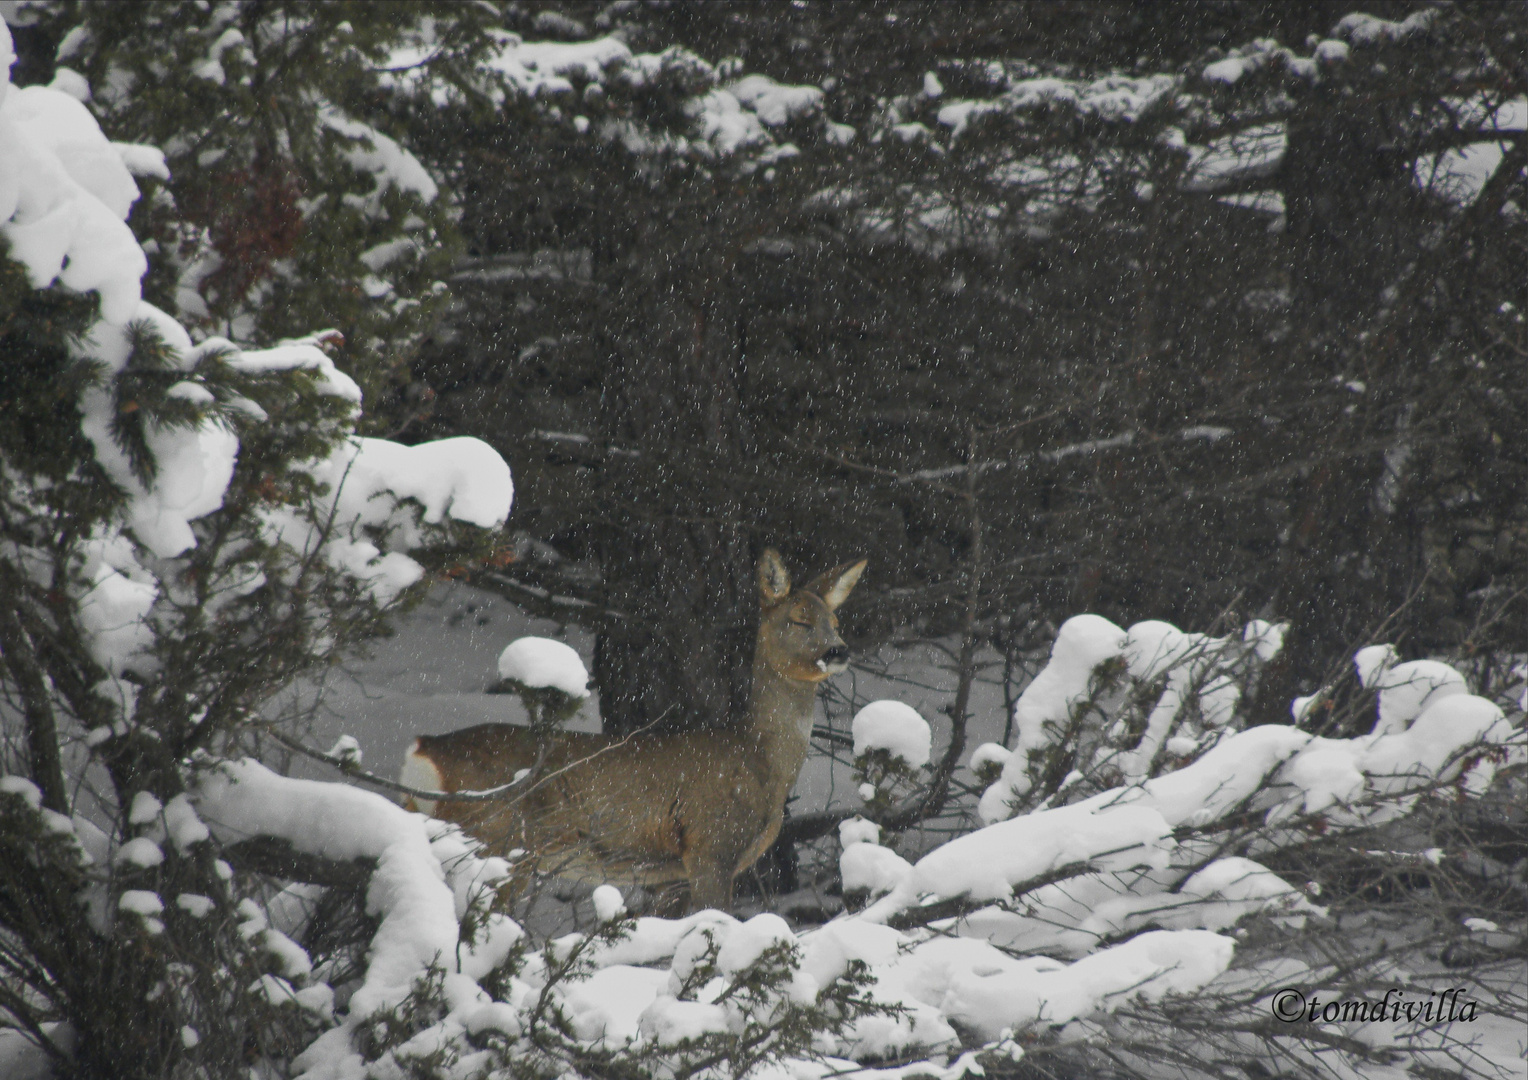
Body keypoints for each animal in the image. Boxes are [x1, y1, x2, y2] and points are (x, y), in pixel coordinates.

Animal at [400, 549, 867, 910]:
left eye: (835, 622)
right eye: (798, 620)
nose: (838, 651)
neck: (758, 758)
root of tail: (422, 750)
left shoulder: (672, 872)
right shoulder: (709, 845)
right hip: (494, 839)